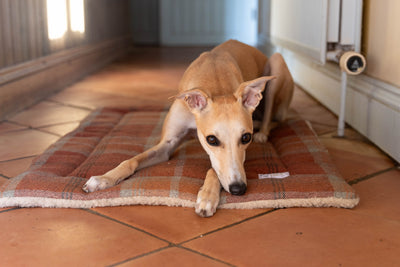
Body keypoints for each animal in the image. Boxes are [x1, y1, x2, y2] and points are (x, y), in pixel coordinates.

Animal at [83, 40, 294, 219]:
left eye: (245, 138)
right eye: (212, 140)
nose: (238, 189)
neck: (215, 79)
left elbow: (213, 169)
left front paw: (207, 197)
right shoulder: (167, 145)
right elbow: (131, 160)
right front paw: (103, 179)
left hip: (276, 67)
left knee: (275, 119)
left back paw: (263, 133)